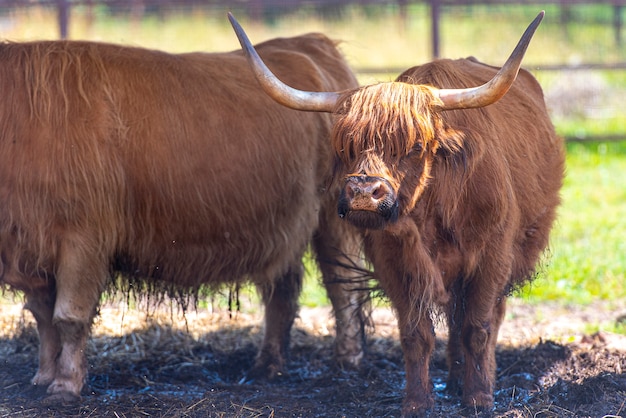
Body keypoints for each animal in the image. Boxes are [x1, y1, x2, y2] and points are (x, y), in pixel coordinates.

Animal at [0, 33, 366, 402]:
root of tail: (309, 42)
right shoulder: (32, 244)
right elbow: (43, 317)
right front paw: (43, 377)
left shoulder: (83, 238)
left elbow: (68, 317)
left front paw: (66, 385)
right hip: (283, 226)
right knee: (282, 292)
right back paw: (267, 366)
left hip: (337, 219)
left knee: (343, 284)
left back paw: (347, 361)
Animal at [230, 11, 564, 416]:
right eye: (345, 146)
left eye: (415, 146)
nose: (363, 193)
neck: (432, 214)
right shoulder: (395, 261)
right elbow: (416, 334)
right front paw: (417, 401)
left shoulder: (492, 256)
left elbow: (478, 327)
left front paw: (479, 398)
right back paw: (454, 380)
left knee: (483, 319)